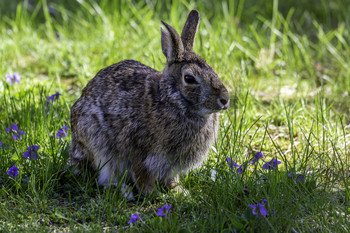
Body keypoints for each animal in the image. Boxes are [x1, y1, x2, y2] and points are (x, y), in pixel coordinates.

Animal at [70, 9, 230, 198]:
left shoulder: (171, 165)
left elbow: (171, 178)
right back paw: (125, 191)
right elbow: (142, 175)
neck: (173, 100)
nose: (225, 100)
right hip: (98, 144)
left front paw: (180, 192)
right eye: (189, 78)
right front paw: (154, 194)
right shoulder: (140, 150)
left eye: (212, 70)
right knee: (106, 176)